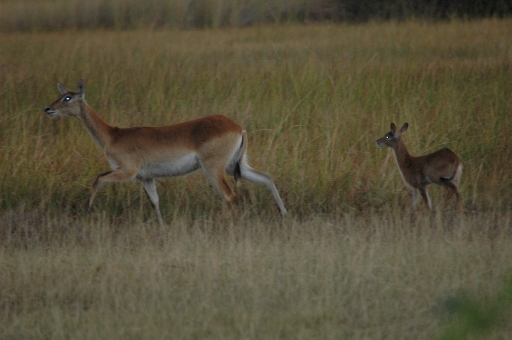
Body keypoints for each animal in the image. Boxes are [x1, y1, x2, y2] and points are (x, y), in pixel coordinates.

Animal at [44, 78, 288, 224]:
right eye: (61, 95)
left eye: (67, 97)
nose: (47, 109)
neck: (113, 135)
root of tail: (238, 127)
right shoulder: (146, 178)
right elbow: (155, 201)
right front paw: (161, 227)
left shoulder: (127, 171)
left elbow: (98, 179)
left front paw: (87, 210)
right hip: (235, 166)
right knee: (266, 178)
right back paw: (283, 214)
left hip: (213, 168)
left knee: (229, 194)